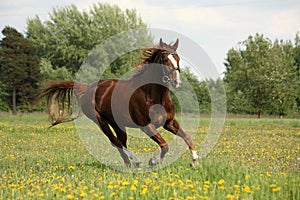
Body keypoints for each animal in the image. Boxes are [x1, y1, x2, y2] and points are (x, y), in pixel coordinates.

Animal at [39, 38, 199, 166]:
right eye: (165, 59)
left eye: (178, 59)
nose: (177, 82)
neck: (153, 96)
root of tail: (89, 88)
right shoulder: (146, 126)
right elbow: (165, 145)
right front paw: (153, 161)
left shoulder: (169, 122)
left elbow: (187, 137)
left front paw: (194, 161)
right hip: (100, 121)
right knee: (115, 142)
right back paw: (136, 161)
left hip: (118, 124)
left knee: (120, 142)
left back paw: (130, 164)